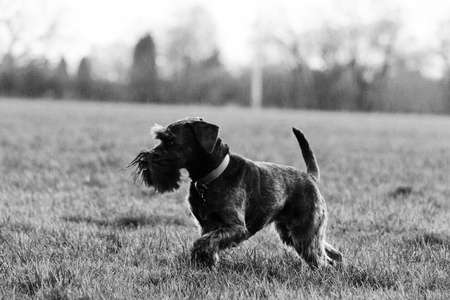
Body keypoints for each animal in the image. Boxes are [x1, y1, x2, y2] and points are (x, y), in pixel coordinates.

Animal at [126, 118, 342, 270]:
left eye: (171, 140)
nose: (143, 160)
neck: (209, 178)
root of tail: (310, 177)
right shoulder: (207, 225)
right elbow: (208, 242)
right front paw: (205, 266)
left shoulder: (235, 227)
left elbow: (203, 242)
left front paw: (200, 258)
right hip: (296, 233)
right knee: (326, 250)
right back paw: (337, 261)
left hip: (303, 232)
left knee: (320, 258)